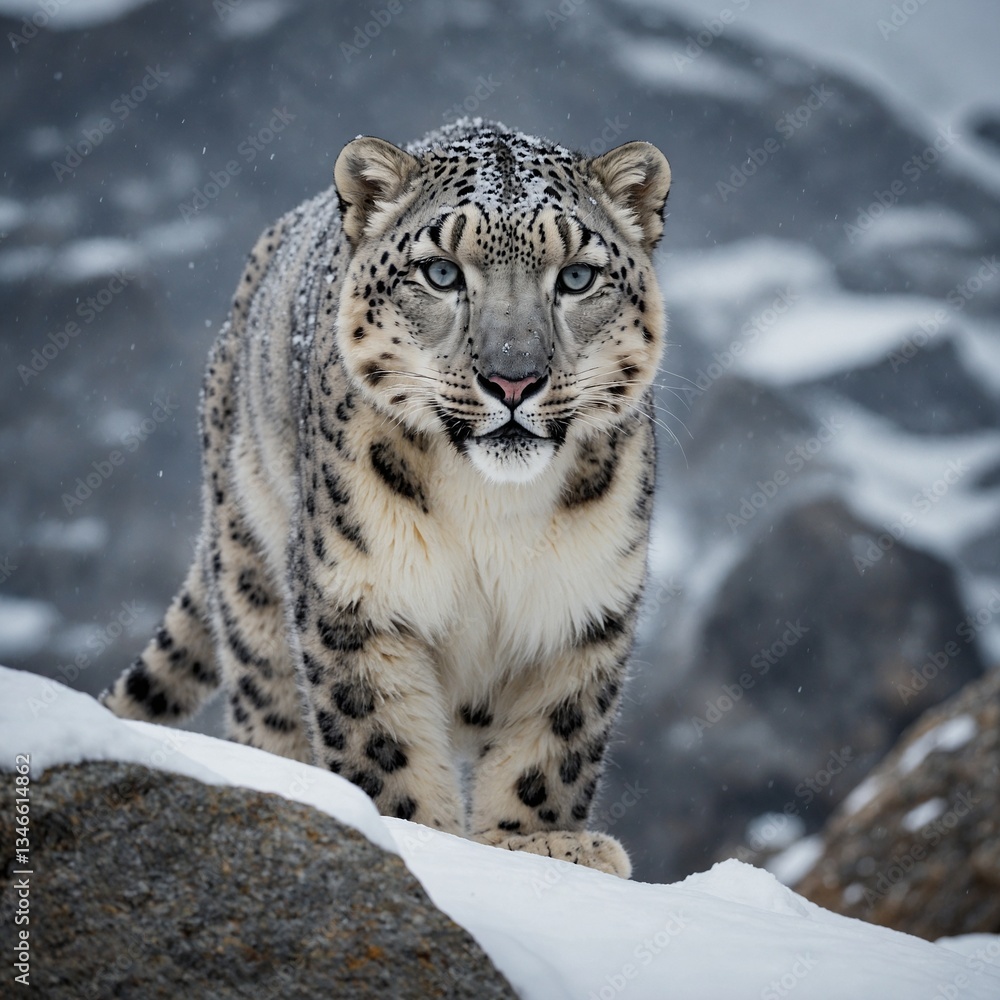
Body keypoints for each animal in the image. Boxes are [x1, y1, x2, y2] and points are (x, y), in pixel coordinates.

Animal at [101, 118, 671, 878]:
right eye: (441, 272)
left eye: (577, 276)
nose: (513, 378)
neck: (493, 512)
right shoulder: (358, 593)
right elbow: (383, 737)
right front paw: (419, 835)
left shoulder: (583, 603)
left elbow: (552, 743)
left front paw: (538, 847)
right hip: (250, 574)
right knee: (266, 701)